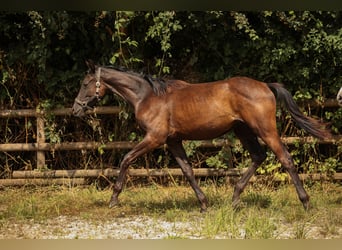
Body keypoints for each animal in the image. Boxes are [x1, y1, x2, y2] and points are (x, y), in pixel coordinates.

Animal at [73, 60, 332, 211]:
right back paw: (234, 200)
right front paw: (204, 204)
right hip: (243, 130)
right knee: (259, 157)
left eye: (85, 83)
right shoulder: (172, 141)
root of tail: (266, 86)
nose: (76, 109)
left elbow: (126, 159)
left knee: (285, 159)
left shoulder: (155, 138)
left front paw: (113, 200)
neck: (149, 96)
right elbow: (188, 171)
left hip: (264, 129)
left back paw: (305, 203)